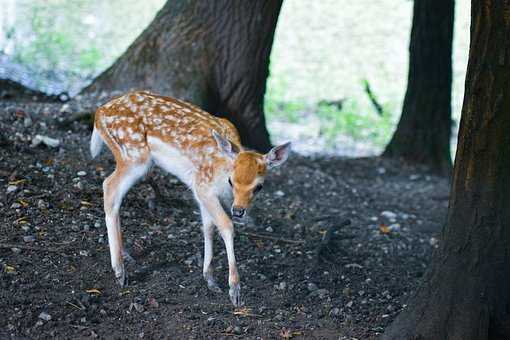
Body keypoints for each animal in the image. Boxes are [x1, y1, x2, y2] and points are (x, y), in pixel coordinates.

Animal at [90, 89, 290, 306]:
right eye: (231, 181)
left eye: (259, 186)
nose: (238, 211)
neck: (221, 170)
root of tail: (99, 113)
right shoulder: (202, 186)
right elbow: (226, 226)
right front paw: (234, 291)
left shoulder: (203, 193)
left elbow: (208, 227)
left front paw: (210, 279)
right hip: (134, 156)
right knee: (109, 186)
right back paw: (120, 272)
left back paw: (126, 257)